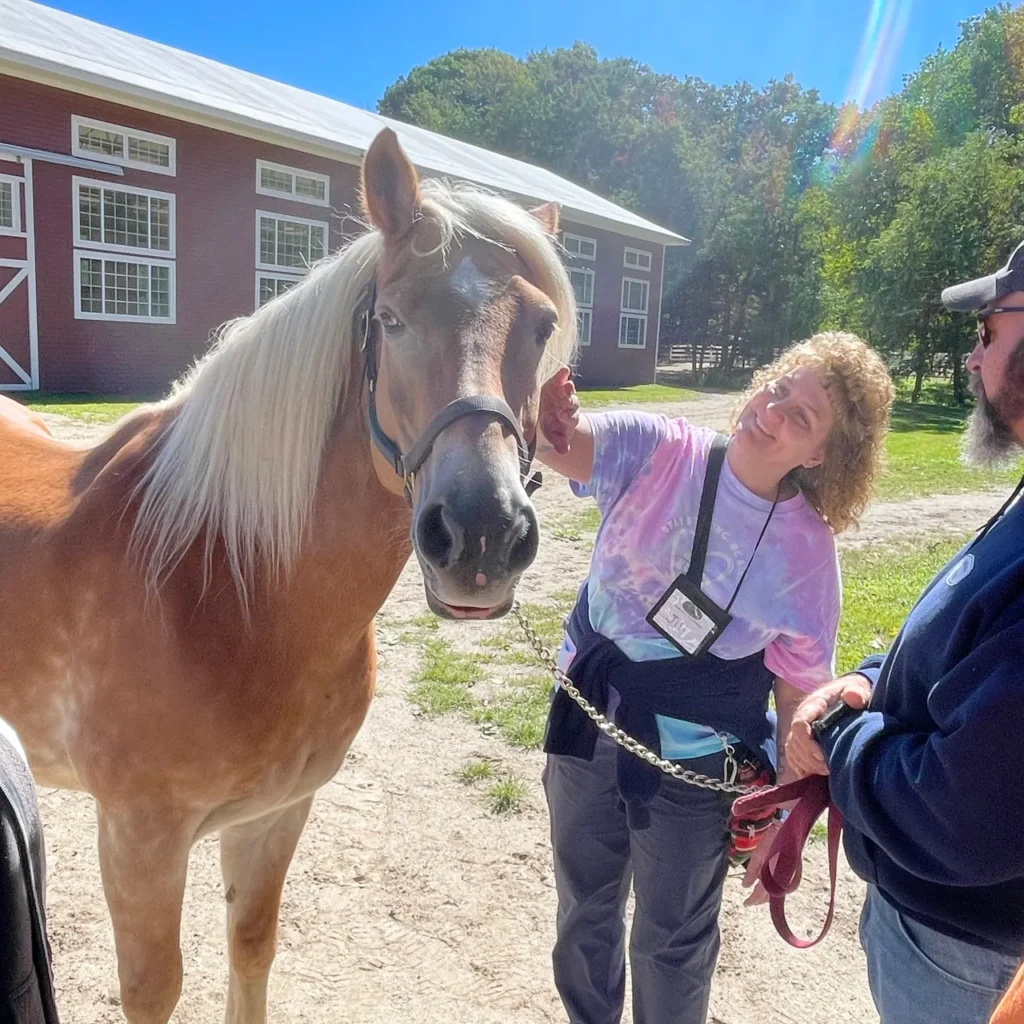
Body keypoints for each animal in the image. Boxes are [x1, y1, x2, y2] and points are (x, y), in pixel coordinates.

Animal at [0, 130, 577, 1024]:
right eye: (390, 319)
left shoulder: (275, 817)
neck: (221, 587)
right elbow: (154, 990)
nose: (482, 536)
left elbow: (251, 948)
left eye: (542, 325)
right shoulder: (138, 840)